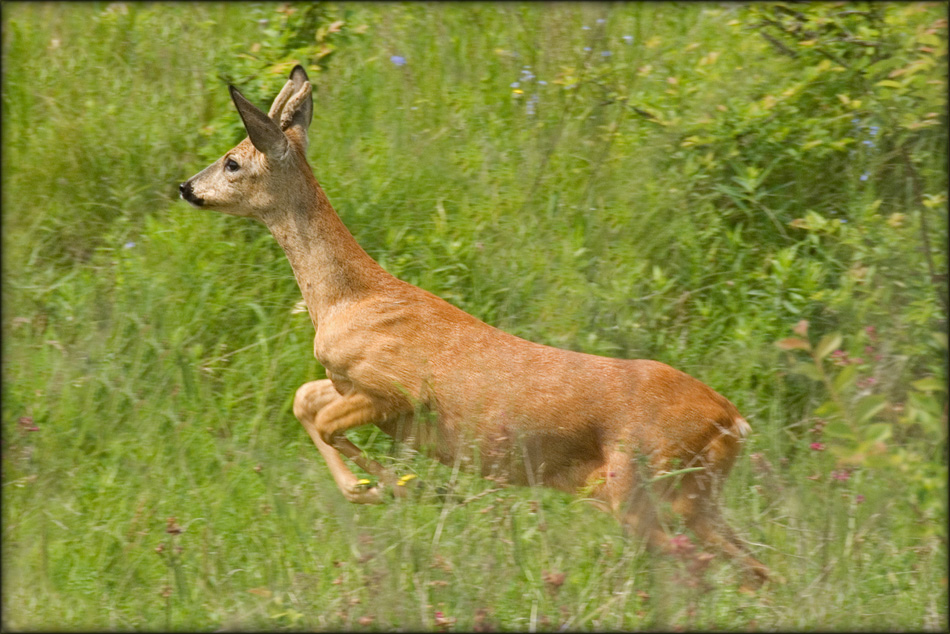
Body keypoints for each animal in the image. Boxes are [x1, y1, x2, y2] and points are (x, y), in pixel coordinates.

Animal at [180, 65, 772, 588]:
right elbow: (305, 400)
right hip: (693, 495)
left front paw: (400, 490)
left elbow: (325, 422)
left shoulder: (396, 388)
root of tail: (732, 421)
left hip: (641, 484)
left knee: (707, 565)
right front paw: (388, 489)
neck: (348, 299)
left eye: (232, 161)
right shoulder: (348, 383)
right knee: (754, 568)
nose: (186, 186)